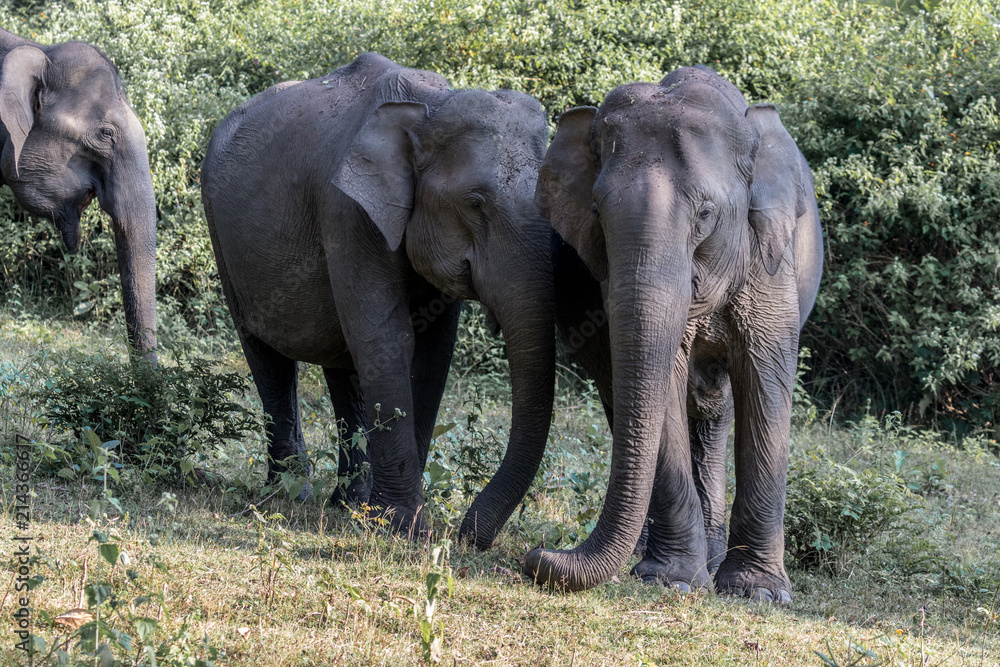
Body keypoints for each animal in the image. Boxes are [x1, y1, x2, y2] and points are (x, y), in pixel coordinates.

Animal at [201, 53, 555, 545]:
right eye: (475, 202)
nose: (466, 538)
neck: (429, 108)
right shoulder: (347, 211)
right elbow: (389, 340)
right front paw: (404, 527)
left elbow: (432, 352)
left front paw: (388, 521)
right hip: (221, 233)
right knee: (268, 359)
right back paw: (290, 495)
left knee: (341, 362)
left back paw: (347, 504)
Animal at [527, 66, 823, 601]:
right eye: (597, 213)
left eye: (705, 214)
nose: (539, 556)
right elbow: (661, 380)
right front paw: (673, 581)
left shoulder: (770, 263)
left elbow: (765, 380)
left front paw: (758, 593)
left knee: (714, 408)